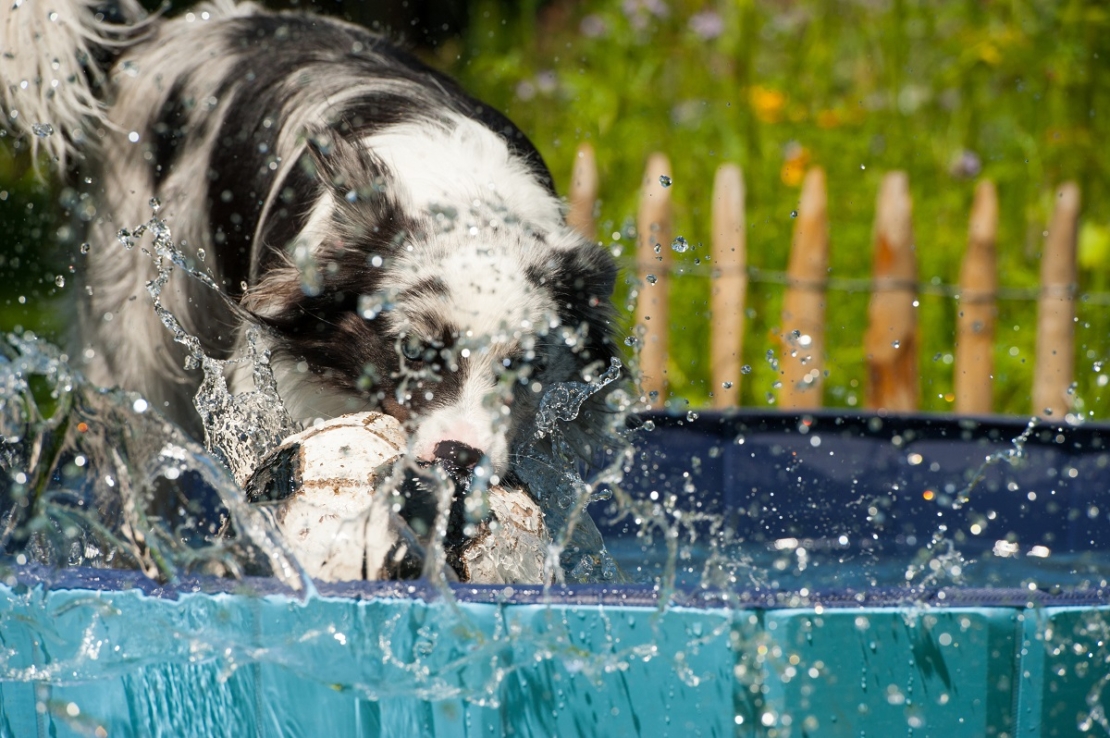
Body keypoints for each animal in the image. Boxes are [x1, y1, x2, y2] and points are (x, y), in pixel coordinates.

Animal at [0, 0, 621, 477]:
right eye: (413, 352)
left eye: (527, 367)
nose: (459, 458)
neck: (466, 203)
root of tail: (159, 35)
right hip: (132, 335)